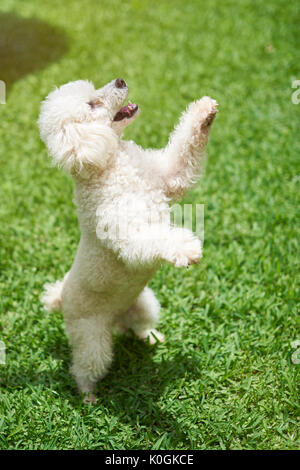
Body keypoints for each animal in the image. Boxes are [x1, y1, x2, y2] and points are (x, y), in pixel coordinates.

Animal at [39, 78, 218, 404]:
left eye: (94, 90)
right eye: (92, 105)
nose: (121, 80)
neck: (111, 164)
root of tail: (61, 298)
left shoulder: (168, 176)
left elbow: (184, 154)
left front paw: (204, 110)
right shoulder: (127, 233)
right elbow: (154, 239)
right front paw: (186, 249)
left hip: (144, 303)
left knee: (137, 327)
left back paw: (151, 338)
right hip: (90, 337)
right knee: (83, 368)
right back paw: (88, 397)